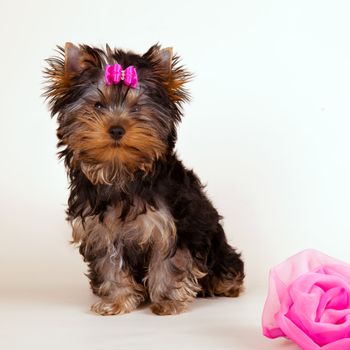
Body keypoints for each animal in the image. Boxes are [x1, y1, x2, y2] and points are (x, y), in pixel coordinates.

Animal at [43, 42, 245, 316]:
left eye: (137, 108)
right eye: (98, 106)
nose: (117, 129)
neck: (120, 170)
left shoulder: (173, 226)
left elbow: (169, 262)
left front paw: (168, 302)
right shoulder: (101, 231)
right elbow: (110, 265)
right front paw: (116, 301)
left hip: (214, 242)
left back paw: (227, 285)